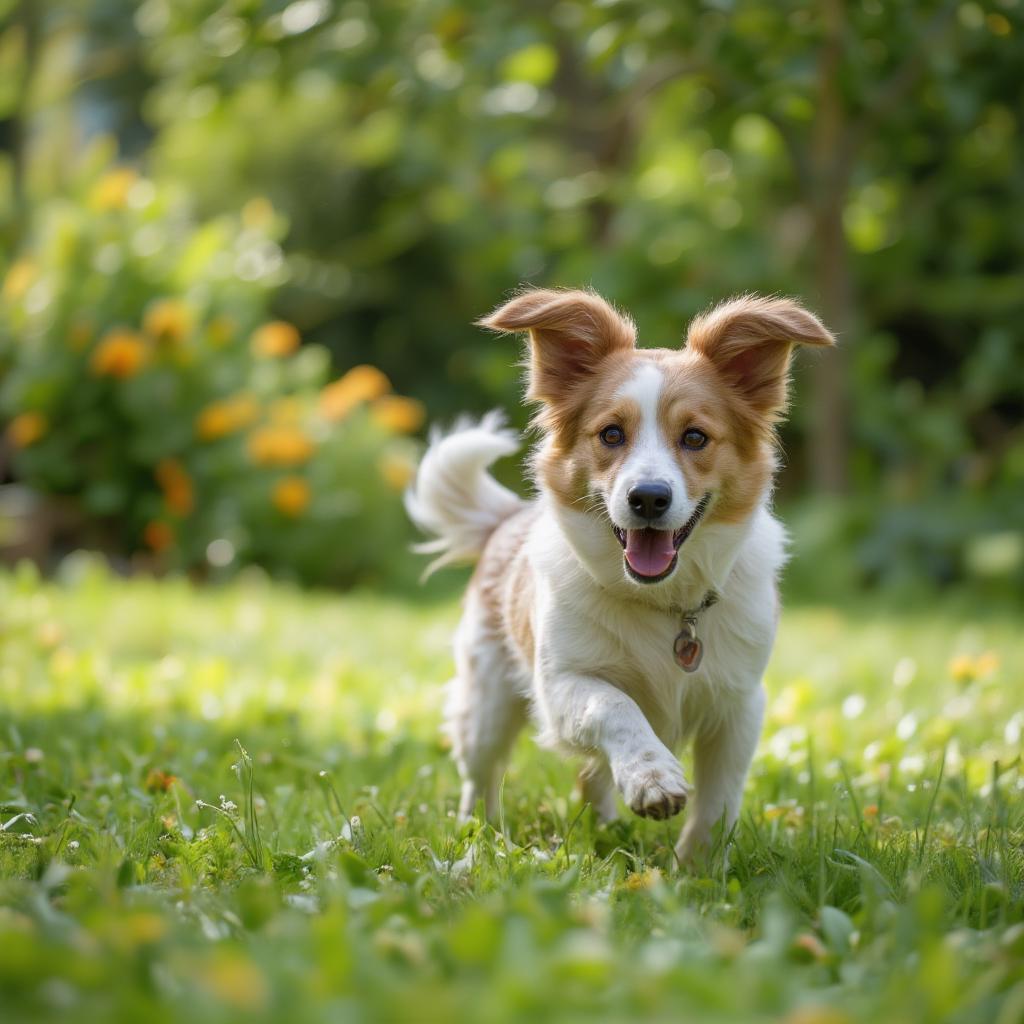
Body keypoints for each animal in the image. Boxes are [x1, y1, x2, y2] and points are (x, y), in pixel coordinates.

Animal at [407, 288, 831, 864]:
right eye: (611, 434)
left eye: (695, 437)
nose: (648, 498)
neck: (665, 604)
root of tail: (506, 519)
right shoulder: (561, 685)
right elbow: (615, 706)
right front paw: (652, 778)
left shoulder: (738, 706)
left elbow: (719, 800)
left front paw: (698, 867)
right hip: (487, 700)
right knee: (482, 772)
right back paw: (481, 833)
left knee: (592, 777)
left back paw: (604, 828)